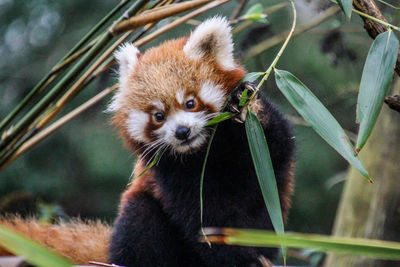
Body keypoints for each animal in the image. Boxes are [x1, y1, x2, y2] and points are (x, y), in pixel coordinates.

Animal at [0, 17, 294, 267]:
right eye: (158, 117)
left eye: (190, 103)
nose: (182, 132)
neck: (205, 153)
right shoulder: (171, 176)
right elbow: (203, 219)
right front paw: (234, 258)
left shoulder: (259, 155)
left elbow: (277, 144)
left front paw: (244, 106)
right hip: (137, 218)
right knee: (140, 224)